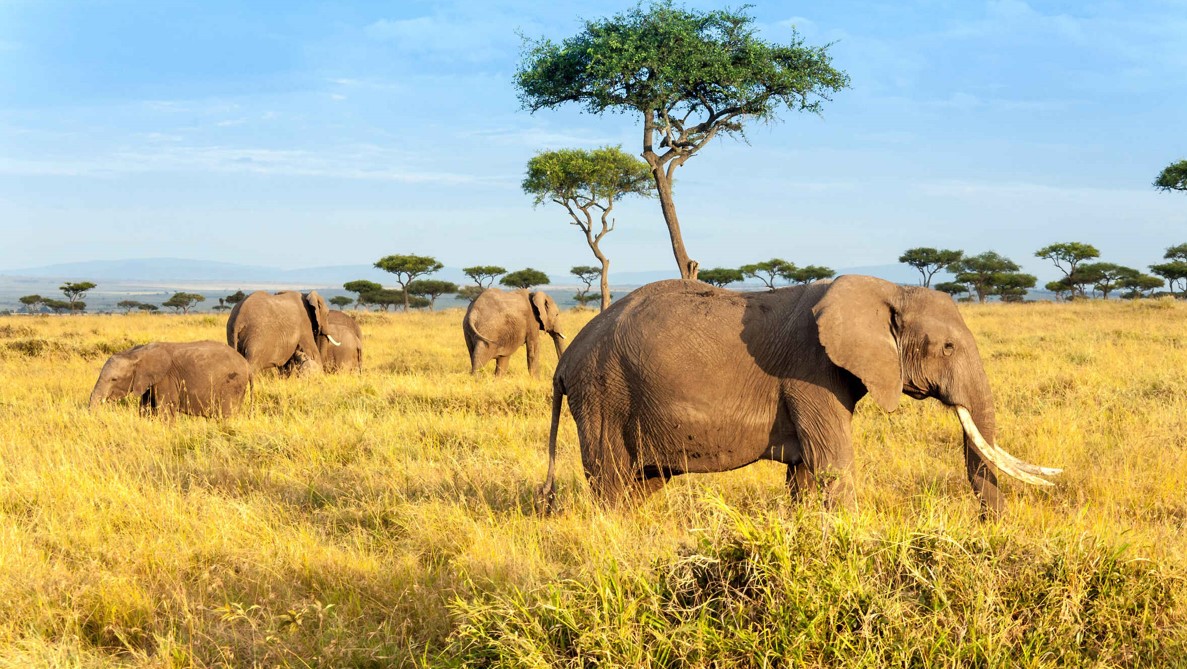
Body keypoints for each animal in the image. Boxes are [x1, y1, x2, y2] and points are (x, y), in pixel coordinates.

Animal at [91, 341, 251, 415]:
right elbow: (145, 408)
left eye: (114, 379)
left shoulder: (165, 378)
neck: (137, 353)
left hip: (232, 385)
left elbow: (166, 408)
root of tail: (246, 365)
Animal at [543, 275, 1063, 517]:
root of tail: (563, 364)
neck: (888, 289)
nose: (991, 530)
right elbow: (833, 464)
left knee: (643, 483)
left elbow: (806, 475)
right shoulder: (809, 372)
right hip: (603, 393)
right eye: (948, 347)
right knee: (612, 482)